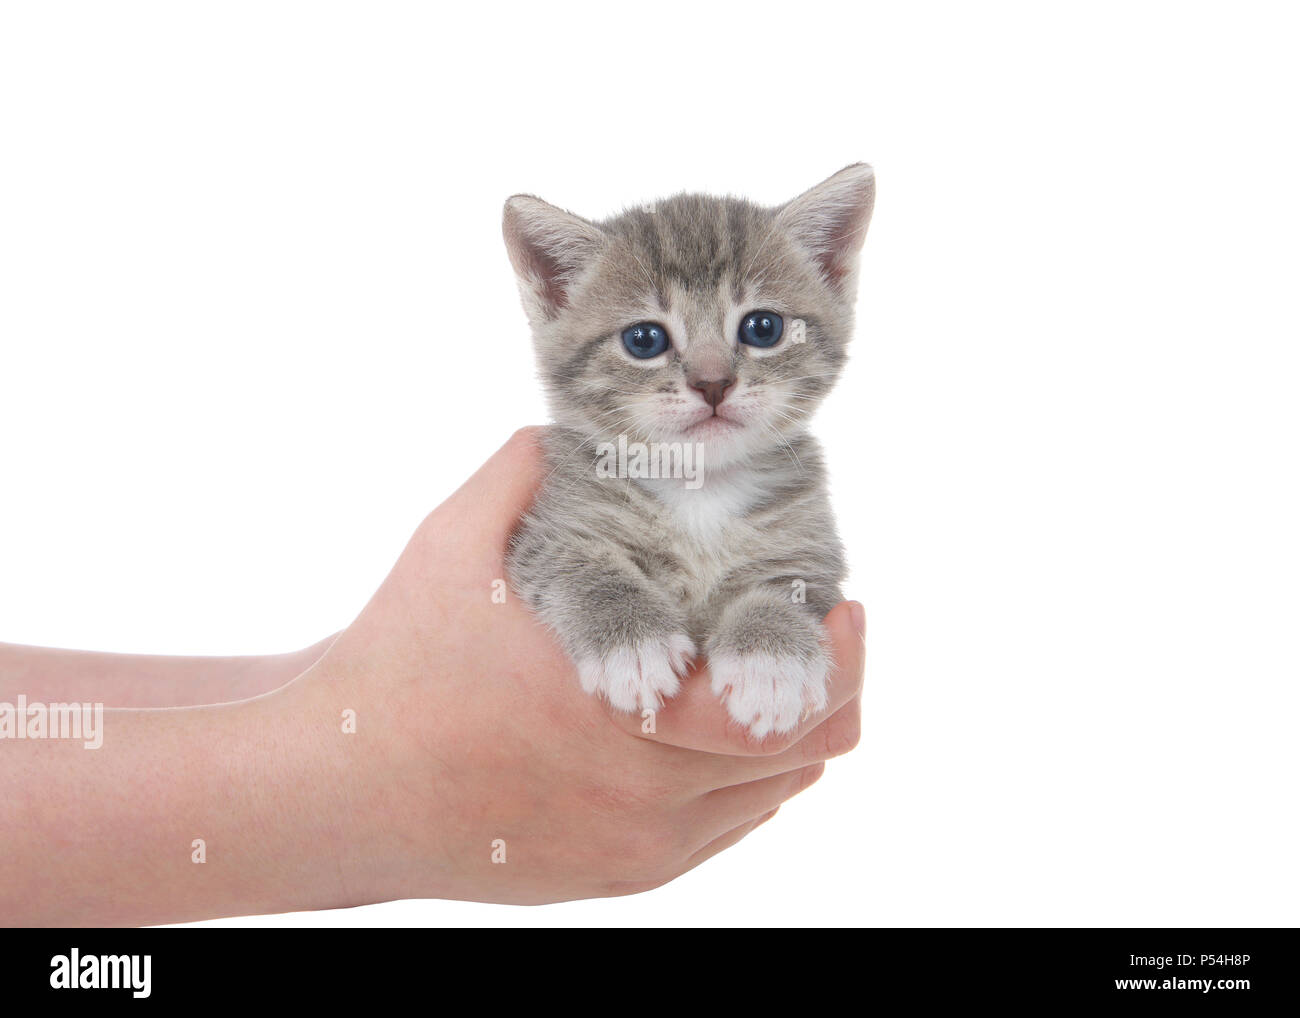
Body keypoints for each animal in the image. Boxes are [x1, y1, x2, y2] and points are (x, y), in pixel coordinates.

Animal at [501, 165, 878, 738]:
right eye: (644, 339)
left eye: (763, 327)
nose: (713, 383)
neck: (700, 487)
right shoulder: (550, 530)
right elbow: (580, 566)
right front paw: (632, 643)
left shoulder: (809, 553)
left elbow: (783, 589)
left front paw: (770, 663)